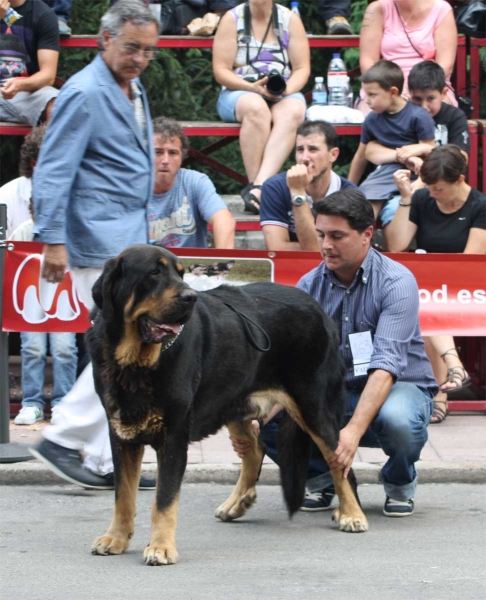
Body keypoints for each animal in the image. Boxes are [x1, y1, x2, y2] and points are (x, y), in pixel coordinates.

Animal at [87, 244, 368, 568]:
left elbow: (164, 499)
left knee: (340, 461)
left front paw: (161, 547)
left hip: (314, 406)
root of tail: (318, 307)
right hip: (236, 403)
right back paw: (236, 503)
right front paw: (116, 538)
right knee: (256, 449)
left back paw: (351, 514)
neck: (136, 363)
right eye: (154, 273)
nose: (190, 297)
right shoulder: (122, 433)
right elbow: (123, 495)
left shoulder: (173, 436)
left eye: (180, 273)